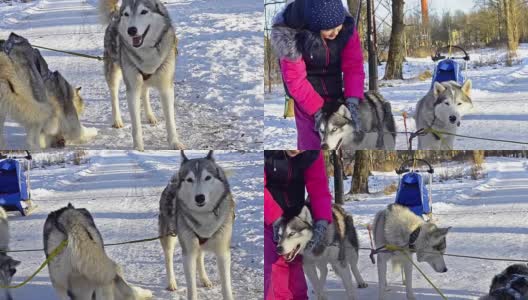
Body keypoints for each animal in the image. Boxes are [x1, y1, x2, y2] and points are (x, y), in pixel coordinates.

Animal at [100, 0, 185, 150]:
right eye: (126, 14)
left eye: (144, 11)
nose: (131, 30)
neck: (147, 53)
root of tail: (115, 16)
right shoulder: (132, 89)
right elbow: (136, 125)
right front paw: (138, 148)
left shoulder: (166, 88)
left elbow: (170, 120)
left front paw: (174, 142)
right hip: (113, 73)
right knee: (114, 97)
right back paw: (117, 120)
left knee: (145, 93)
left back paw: (150, 116)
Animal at [158, 151, 234, 300]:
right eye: (189, 179)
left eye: (207, 177)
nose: (200, 198)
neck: (204, 216)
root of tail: (172, 182)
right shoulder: (188, 254)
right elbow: (191, 287)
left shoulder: (223, 252)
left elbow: (226, 286)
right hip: (169, 237)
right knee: (168, 259)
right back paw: (172, 283)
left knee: (200, 257)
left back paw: (205, 279)